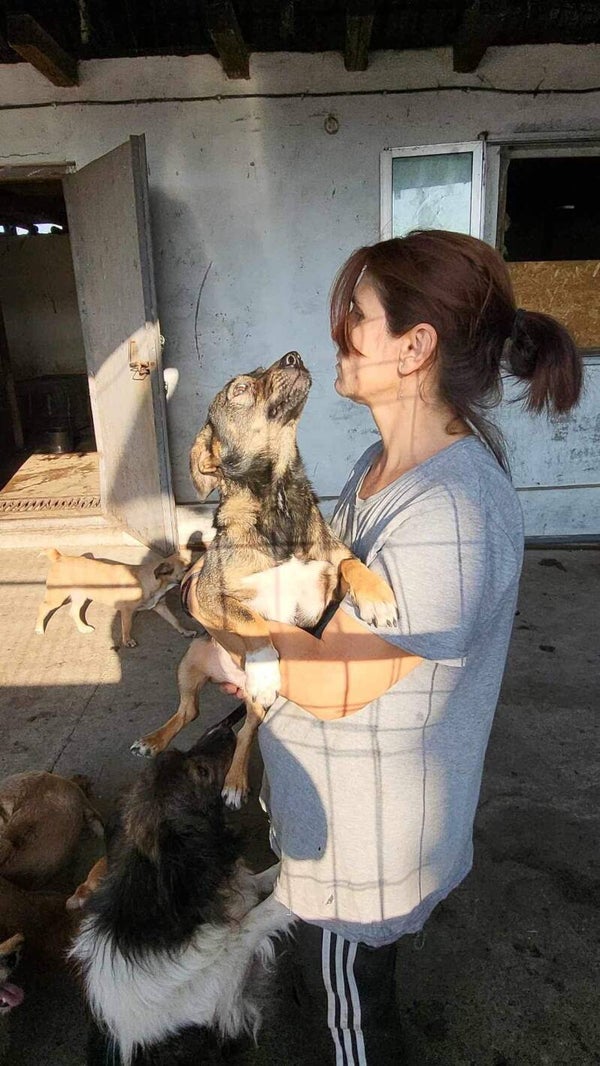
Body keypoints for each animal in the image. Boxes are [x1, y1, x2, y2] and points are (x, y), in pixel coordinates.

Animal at [35, 548, 197, 647]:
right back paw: (39, 629)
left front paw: (185, 631)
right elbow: (127, 626)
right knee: (43, 607)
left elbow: (175, 621)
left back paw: (83, 628)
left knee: (73, 612)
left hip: (81, 596)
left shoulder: (160, 606)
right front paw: (127, 641)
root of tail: (60, 557)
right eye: (187, 569)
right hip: (56, 597)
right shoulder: (126, 611)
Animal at [72, 726, 294, 1066]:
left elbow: (257, 884)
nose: (223, 727)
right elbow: (253, 923)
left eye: (179, 753)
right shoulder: (223, 986)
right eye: (201, 772)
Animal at [130, 351, 397, 806]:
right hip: (190, 660)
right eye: (240, 388)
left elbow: (350, 563)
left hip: (248, 703)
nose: (295, 356)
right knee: (188, 711)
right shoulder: (210, 594)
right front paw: (264, 667)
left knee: (243, 733)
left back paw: (235, 780)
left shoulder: (324, 591)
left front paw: (378, 596)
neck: (278, 499)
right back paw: (154, 740)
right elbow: (254, 624)